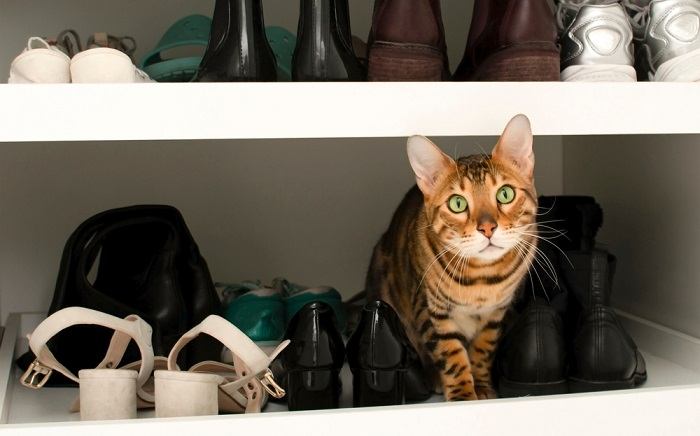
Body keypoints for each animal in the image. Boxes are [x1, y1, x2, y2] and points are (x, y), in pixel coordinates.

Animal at [370, 114, 540, 400]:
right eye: (457, 204)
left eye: (505, 194)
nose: (487, 228)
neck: (482, 277)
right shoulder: (430, 309)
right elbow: (451, 356)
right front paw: (462, 394)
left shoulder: (496, 314)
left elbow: (483, 350)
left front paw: (481, 386)